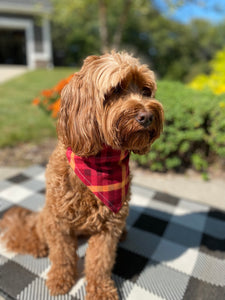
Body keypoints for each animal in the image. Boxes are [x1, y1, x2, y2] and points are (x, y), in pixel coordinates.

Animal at [0, 52, 163, 300]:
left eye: (146, 91)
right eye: (115, 89)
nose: (147, 116)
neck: (99, 163)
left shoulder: (108, 228)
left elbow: (99, 262)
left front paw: (101, 290)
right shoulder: (59, 223)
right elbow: (62, 255)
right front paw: (60, 279)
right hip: (47, 215)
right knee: (36, 229)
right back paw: (37, 245)